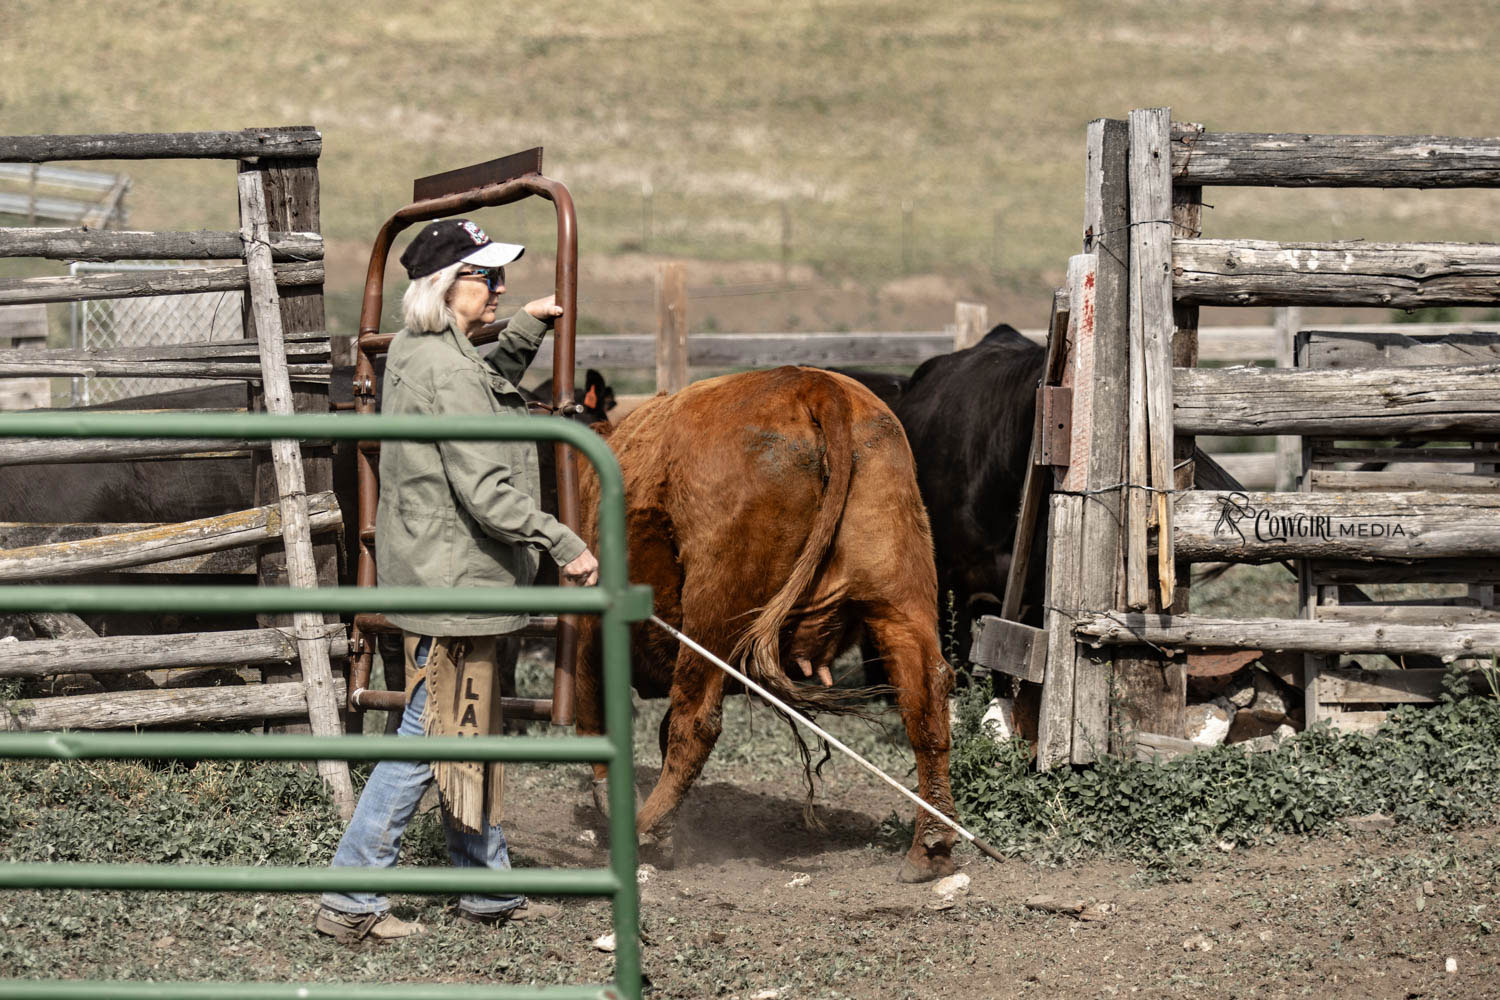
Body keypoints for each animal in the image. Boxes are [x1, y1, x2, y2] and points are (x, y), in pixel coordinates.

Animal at [573, 367, 960, 881]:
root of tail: (817, 387)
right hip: (897, 598)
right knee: (926, 695)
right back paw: (931, 845)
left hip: (715, 605)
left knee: (696, 719)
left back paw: (646, 828)